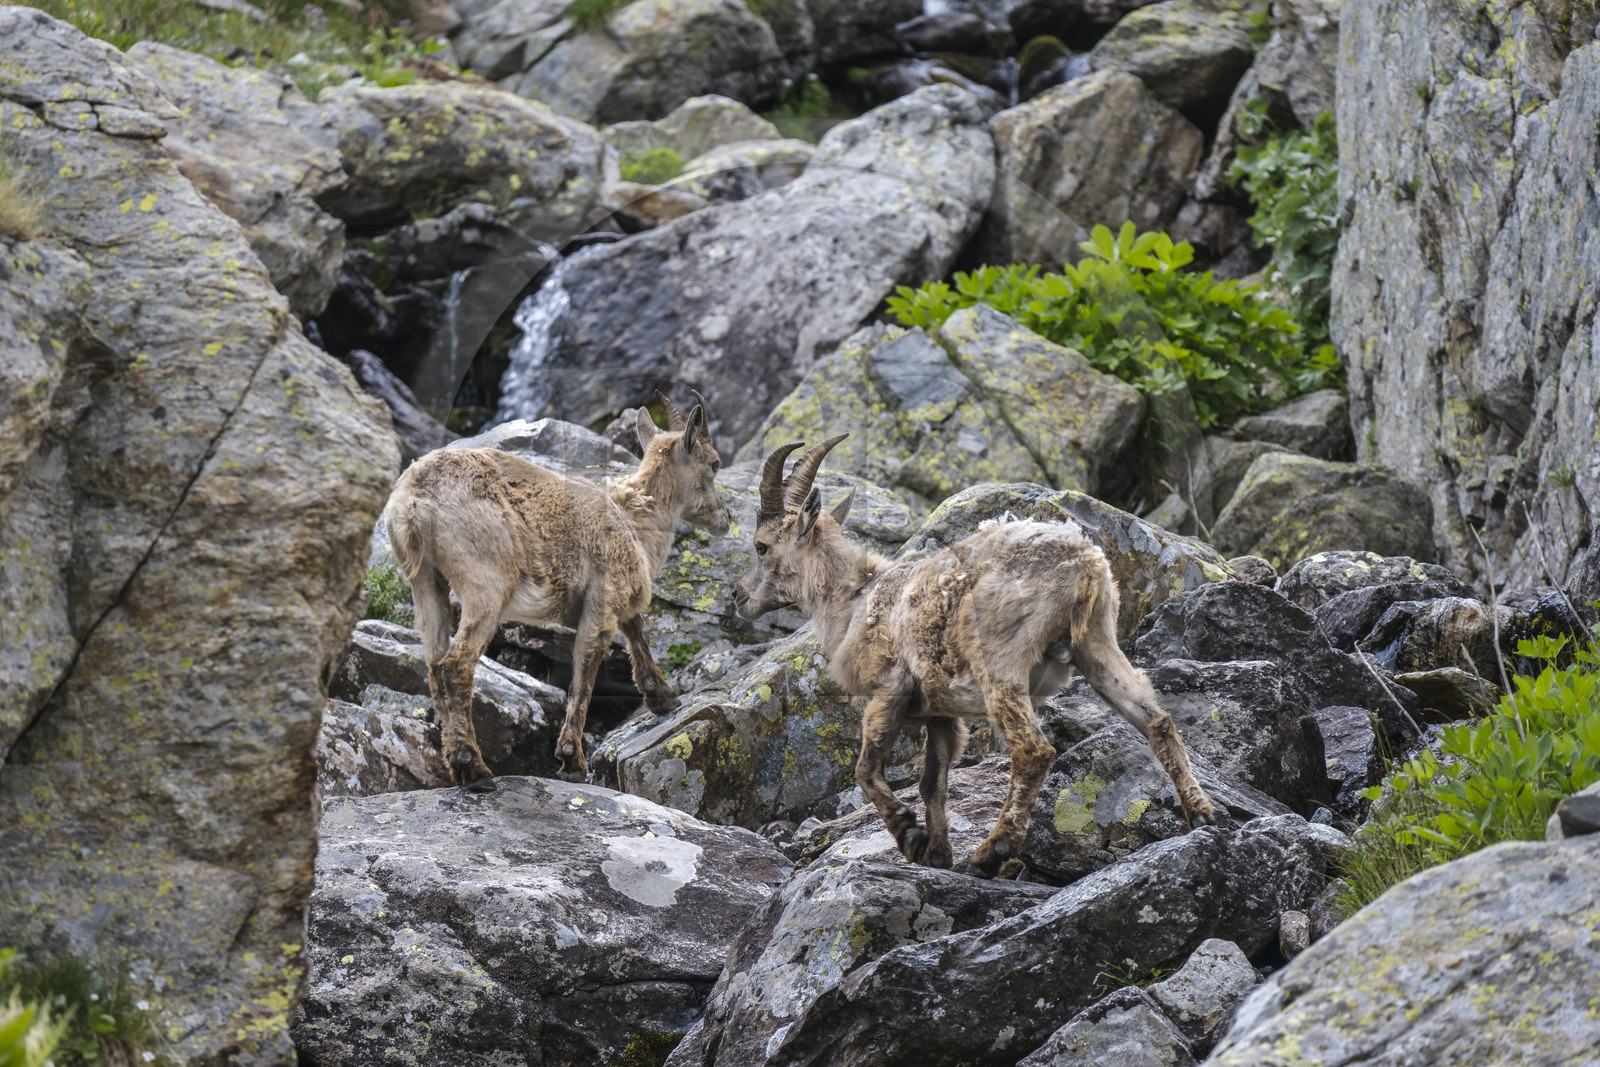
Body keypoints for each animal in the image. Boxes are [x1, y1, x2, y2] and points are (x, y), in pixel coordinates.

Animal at [386, 393, 730, 786]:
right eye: (715, 463)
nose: (726, 518)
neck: (635, 525)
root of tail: (412, 502)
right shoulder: (602, 599)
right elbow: (585, 673)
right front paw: (572, 759)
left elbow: (634, 626)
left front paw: (662, 696)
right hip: (485, 582)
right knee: (456, 666)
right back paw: (473, 766)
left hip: (425, 581)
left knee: (433, 666)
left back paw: (456, 763)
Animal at [732, 436, 1216, 876]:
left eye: (761, 546)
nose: (738, 597)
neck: (853, 602)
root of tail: (1085, 564)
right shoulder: (940, 712)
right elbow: (933, 780)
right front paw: (937, 854)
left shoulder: (890, 687)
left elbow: (866, 768)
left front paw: (909, 834)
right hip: (1097, 645)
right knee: (1156, 719)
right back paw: (1202, 813)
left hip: (1000, 661)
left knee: (1033, 750)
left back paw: (991, 852)